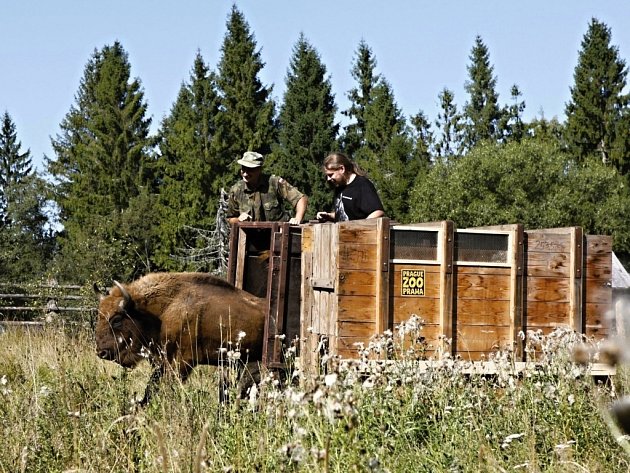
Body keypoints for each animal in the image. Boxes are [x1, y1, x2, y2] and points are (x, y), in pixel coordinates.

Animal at [94, 272, 266, 404]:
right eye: (99, 315)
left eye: (117, 319)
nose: (101, 352)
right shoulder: (163, 362)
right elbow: (151, 387)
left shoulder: (182, 362)